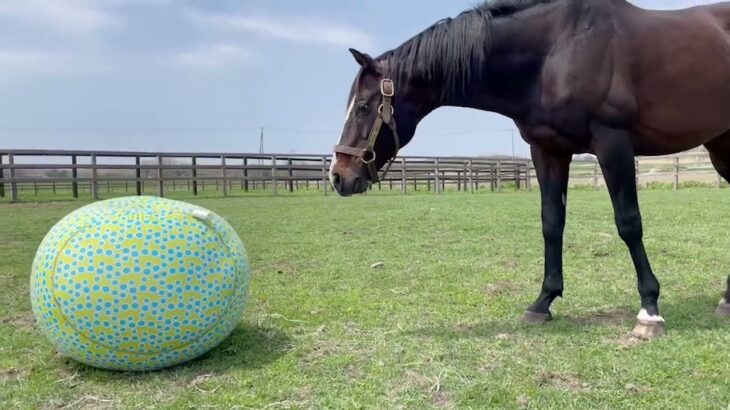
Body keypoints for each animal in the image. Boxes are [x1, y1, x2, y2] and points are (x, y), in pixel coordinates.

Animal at [328, 0, 728, 340]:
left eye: (363, 107)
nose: (338, 175)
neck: (556, 51)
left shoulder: (613, 143)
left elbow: (628, 223)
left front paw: (649, 311)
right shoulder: (548, 151)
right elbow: (551, 223)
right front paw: (542, 303)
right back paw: (725, 300)